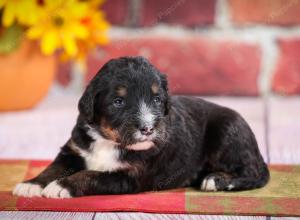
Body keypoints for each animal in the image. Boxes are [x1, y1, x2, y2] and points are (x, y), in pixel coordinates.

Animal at [12, 56, 270, 198]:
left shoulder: (129, 176)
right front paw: (31, 185)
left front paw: (61, 186)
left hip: (228, 132)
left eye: (157, 99)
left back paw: (217, 180)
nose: (147, 129)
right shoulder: (74, 150)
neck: (108, 141)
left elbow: (91, 175)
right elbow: (54, 167)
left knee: (255, 174)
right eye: (118, 102)